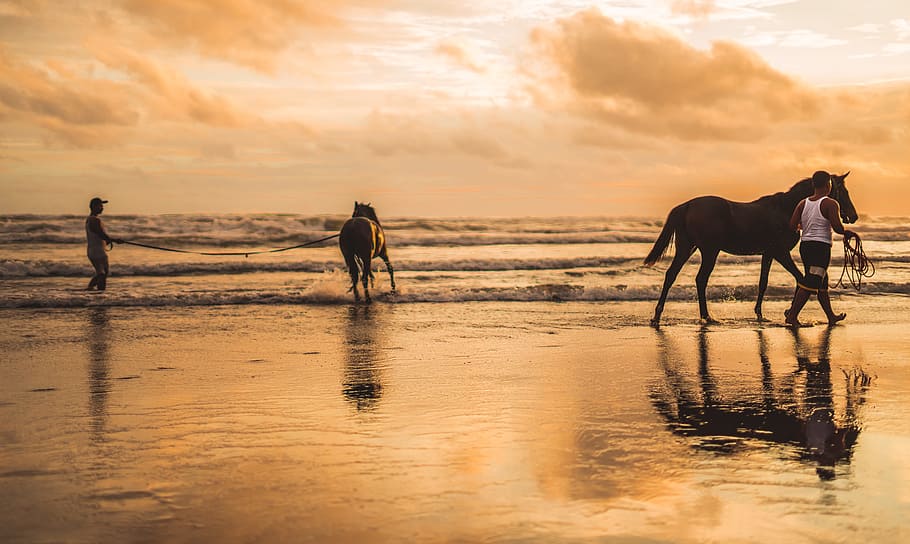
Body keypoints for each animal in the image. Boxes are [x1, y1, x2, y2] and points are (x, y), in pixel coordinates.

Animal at [644, 172, 858, 326]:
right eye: (844, 192)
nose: (854, 216)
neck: (786, 209)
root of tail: (687, 205)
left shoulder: (768, 254)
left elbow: (764, 282)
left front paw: (760, 313)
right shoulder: (780, 253)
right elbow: (801, 278)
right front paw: (789, 313)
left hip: (687, 248)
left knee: (671, 275)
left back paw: (658, 315)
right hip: (709, 251)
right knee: (700, 279)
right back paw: (707, 316)